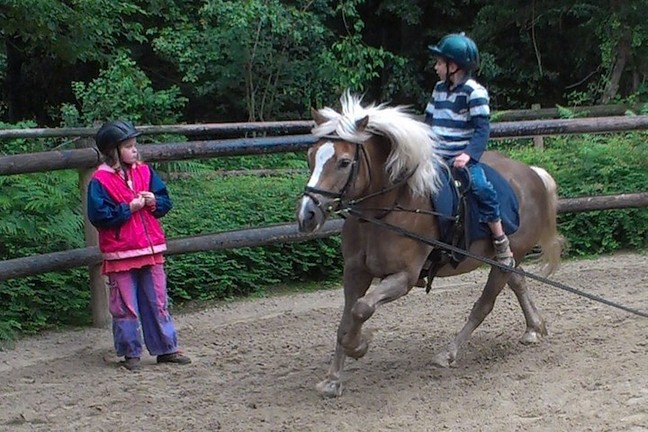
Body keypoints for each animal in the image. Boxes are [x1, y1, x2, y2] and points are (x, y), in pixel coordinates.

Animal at [296, 91, 564, 398]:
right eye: (311, 157)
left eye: (343, 162)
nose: (307, 214)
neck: (388, 209)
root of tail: (532, 174)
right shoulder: (354, 272)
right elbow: (345, 321)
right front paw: (333, 380)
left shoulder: (404, 277)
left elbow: (361, 309)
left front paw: (360, 346)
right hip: (506, 262)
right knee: (518, 281)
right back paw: (534, 328)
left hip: (503, 261)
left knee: (483, 305)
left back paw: (448, 354)